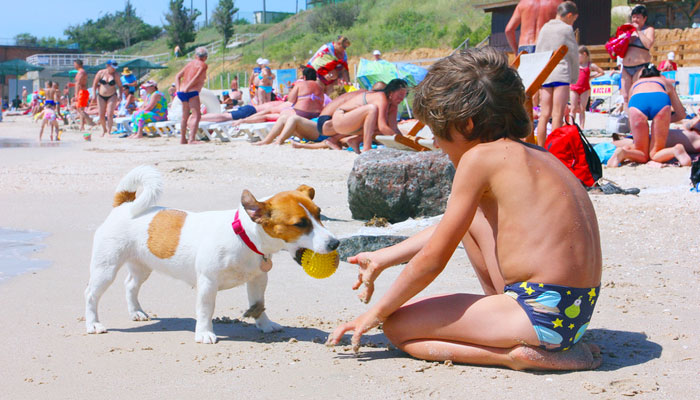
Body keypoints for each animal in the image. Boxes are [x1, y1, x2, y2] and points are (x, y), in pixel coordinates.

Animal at [86, 166, 338, 344]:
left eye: (319, 215)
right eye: (300, 224)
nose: (335, 243)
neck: (243, 237)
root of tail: (124, 205)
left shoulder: (258, 280)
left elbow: (258, 304)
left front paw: (265, 325)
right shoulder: (207, 283)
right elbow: (206, 310)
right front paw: (204, 333)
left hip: (142, 266)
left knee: (130, 285)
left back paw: (136, 312)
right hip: (105, 268)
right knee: (91, 294)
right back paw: (93, 324)